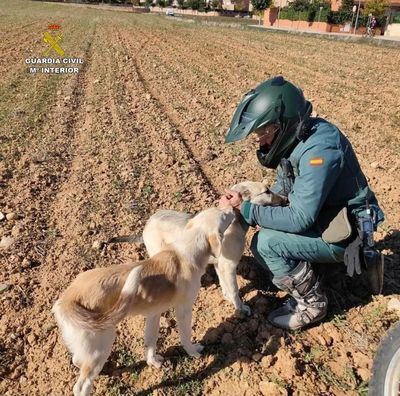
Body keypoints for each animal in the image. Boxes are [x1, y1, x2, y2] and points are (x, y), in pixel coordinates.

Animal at [51, 206, 236, 394]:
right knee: (81, 386)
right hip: (101, 344)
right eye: (224, 216)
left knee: (77, 360)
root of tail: (67, 300)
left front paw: (152, 362)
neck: (188, 249)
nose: (232, 208)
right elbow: (185, 336)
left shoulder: (154, 313)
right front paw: (193, 352)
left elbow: (150, 341)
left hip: (86, 345)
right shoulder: (183, 310)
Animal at [141, 182, 284, 316]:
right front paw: (240, 308)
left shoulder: (220, 265)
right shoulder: (229, 266)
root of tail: (149, 220)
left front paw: (229, 299)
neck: (236, 222)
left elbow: (225, 286)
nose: (286, 199)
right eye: (267, 191)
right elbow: (234, 290)